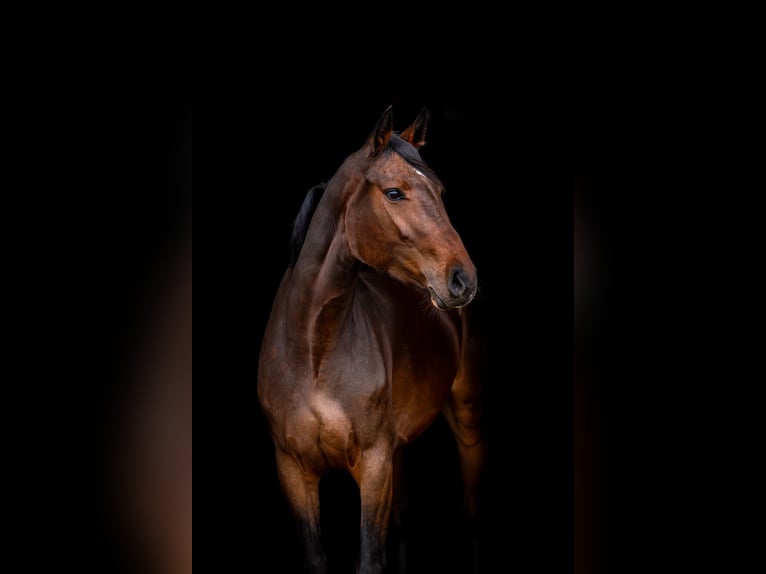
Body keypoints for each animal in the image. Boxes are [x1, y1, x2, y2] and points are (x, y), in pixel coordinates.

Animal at [257, 107, 485, 574]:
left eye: (440, 189)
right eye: (395, 193)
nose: (463, 279)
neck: (313, 351)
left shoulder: (374, 466)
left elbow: (368, 558)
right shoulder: (292, 470)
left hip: (466, 416)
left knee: (471, 507)